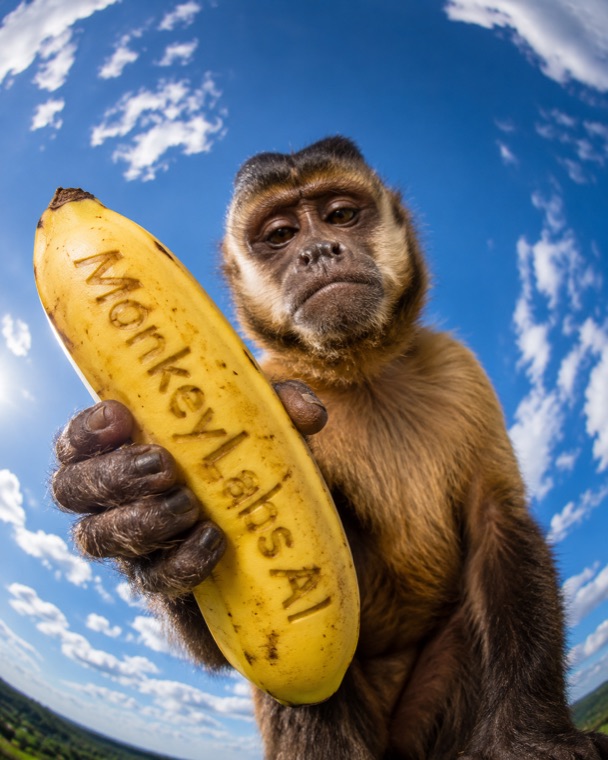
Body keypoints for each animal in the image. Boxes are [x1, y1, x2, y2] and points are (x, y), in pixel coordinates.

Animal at [51, 136, 608, 759]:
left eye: (341, 215)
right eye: (280, 235)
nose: (317, 250)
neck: (359, 375)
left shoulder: (460, 370)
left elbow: (498, 523)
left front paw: (532, 737)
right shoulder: (278, 375)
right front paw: (128, 509)